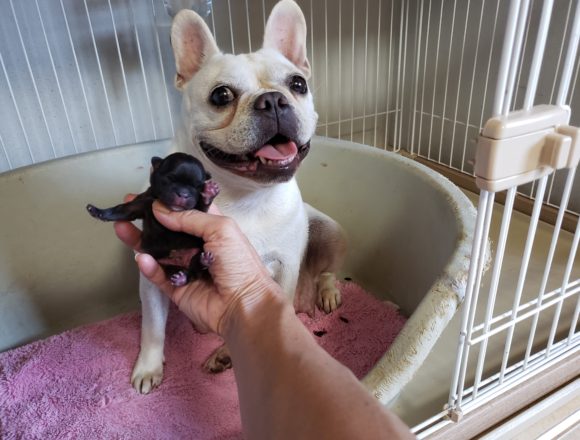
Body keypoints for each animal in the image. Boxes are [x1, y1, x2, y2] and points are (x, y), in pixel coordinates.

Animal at [87, 153, 219, 286]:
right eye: (170, 178)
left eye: (197, 186)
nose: (183, 194)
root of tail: (183, 262)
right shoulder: (139, 203)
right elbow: (120, 210)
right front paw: (97, 211)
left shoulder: (197, 212)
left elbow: (201, 207)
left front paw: (208, 193)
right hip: (167, 265)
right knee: (183, 272)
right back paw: (182, 277)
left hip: (199, 250)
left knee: (194, 271)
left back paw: (202, 262)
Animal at [131, 0, 346, 394]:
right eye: (221, 95)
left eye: (298, 84)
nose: (273, 100)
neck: (242, 196)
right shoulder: (150, 276)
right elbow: (151, 326)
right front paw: (148, 367)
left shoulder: (285, 267)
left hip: (329, 230)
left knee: (326, 271)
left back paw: (325, 293)